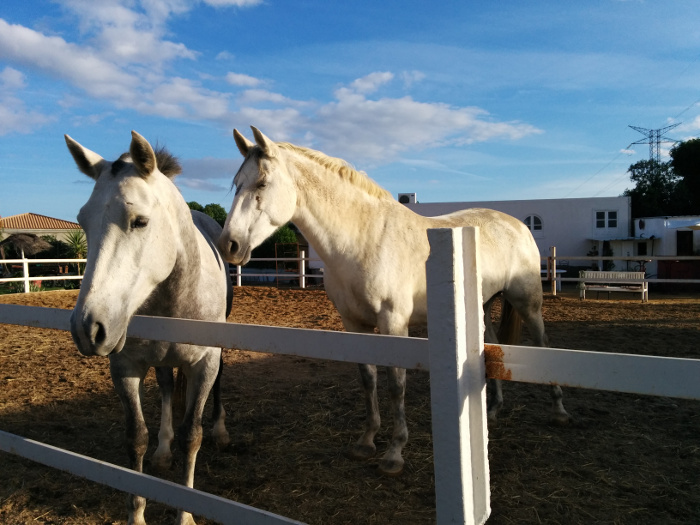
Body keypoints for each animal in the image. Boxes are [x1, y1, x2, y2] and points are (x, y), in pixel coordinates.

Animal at [65, 132, 232, 524]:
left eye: (139, 221)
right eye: (82, 220)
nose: (87, 327)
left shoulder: (204, 363)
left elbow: (192, 436)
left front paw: (185, 515)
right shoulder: (125, 366)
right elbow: (136, 437)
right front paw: (137, 514)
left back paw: (220, 430)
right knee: (169, 387)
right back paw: (163, 449)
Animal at [217, 126, 568, 474]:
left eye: (262, 183)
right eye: (237, 184)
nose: (229, 245)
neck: (364, 239)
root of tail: (518, 224)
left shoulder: (393, 322)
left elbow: (396, 383)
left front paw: (395, 452)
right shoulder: (354, 323)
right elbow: (367, 378)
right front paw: (366, 441)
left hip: (527, 303)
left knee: (544, 343)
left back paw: (558, 410)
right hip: (481, 304)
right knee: (491, 346)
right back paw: (494, 409)